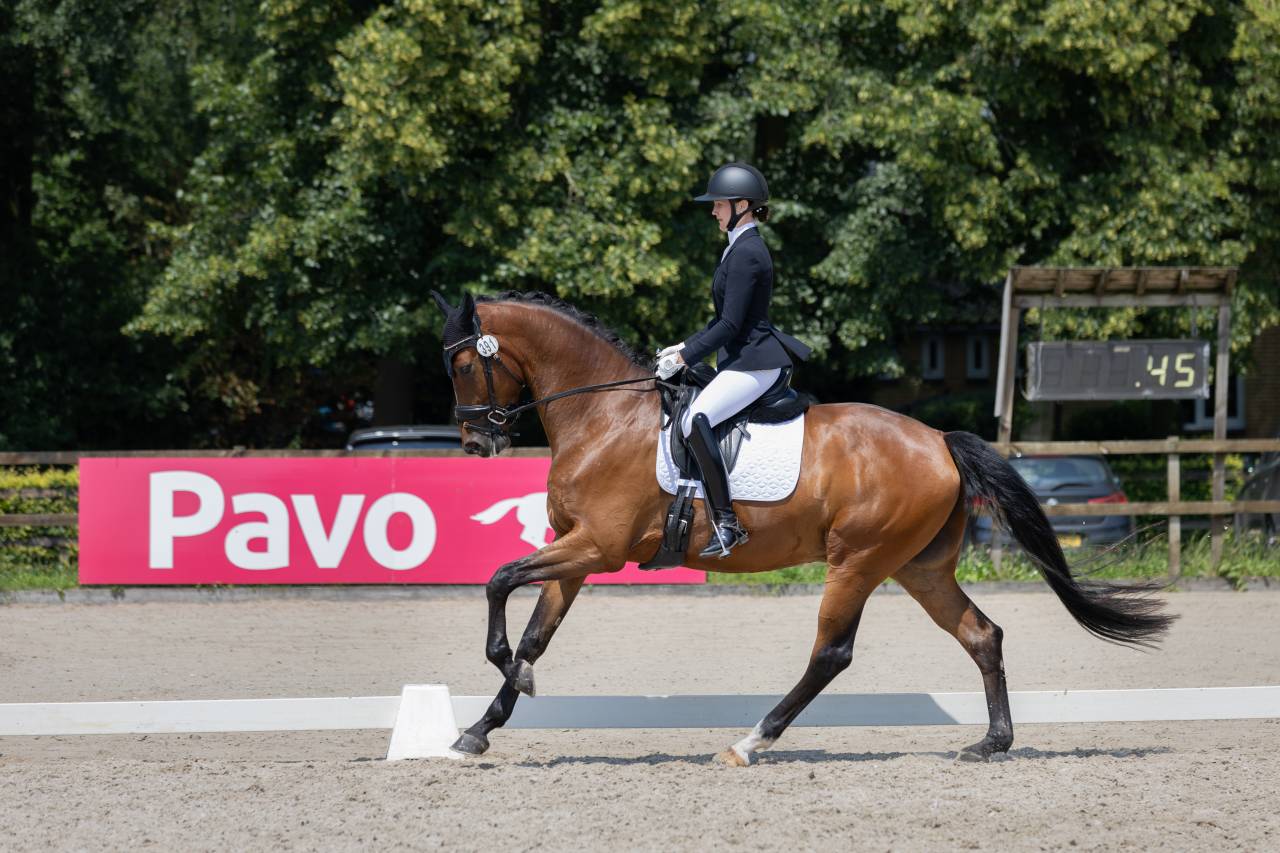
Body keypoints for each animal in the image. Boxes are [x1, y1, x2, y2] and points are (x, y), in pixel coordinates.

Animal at [432, 290, 1172, 766]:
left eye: (463, 363)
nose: (474, 442)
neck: (604, 415)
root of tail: (938, 439)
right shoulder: (578, 553)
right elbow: (535, 632)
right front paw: (480, 727)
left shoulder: (597, 547)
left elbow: (498, 581)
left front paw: (511, 683)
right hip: (920, 567)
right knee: (981, 634)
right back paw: (992, 742)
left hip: (858, 560)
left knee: (831, 653)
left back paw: (751, 740)